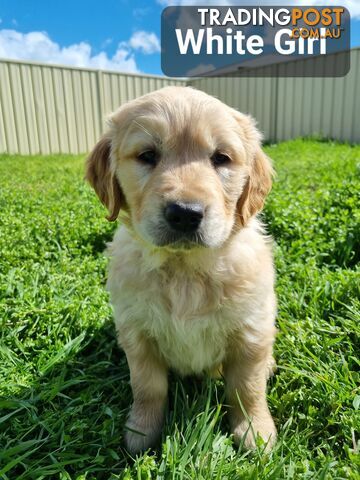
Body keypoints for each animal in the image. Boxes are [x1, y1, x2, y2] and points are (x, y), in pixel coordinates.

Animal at [86, 85, 278, 454]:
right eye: (148, 155)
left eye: (221, 158)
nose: (186, 213)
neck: (184, 270)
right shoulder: (137, 334)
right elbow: (148, 387)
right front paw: (141, 431)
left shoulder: (251, 332)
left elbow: (246, 388)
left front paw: (255, 431)